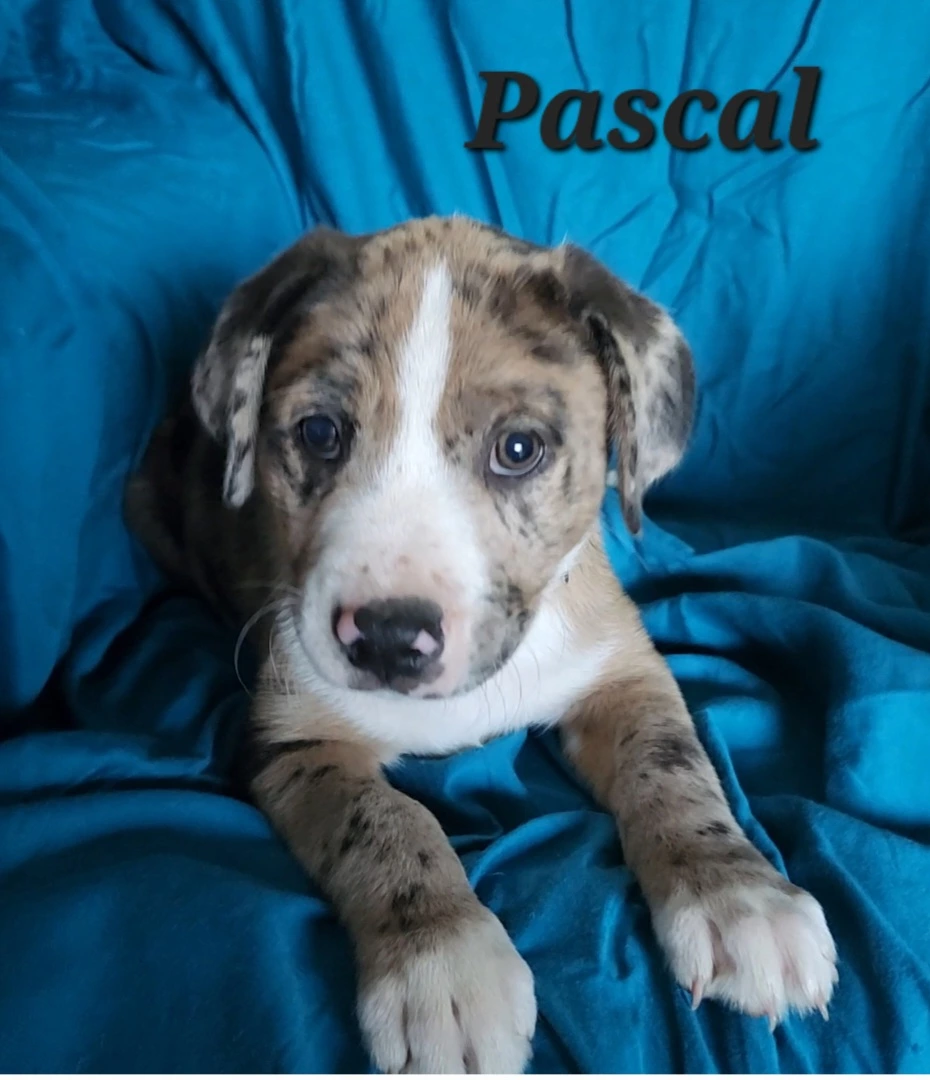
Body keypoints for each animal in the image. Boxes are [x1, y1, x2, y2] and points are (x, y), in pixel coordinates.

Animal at [126, 216, 837, 1074]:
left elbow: (674, 768)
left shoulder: (623, 674)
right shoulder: (294, 738)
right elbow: (386, 823)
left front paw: (738, 896)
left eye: (519, 449)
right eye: (320, 433)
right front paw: (441, 969)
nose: (389, 638)